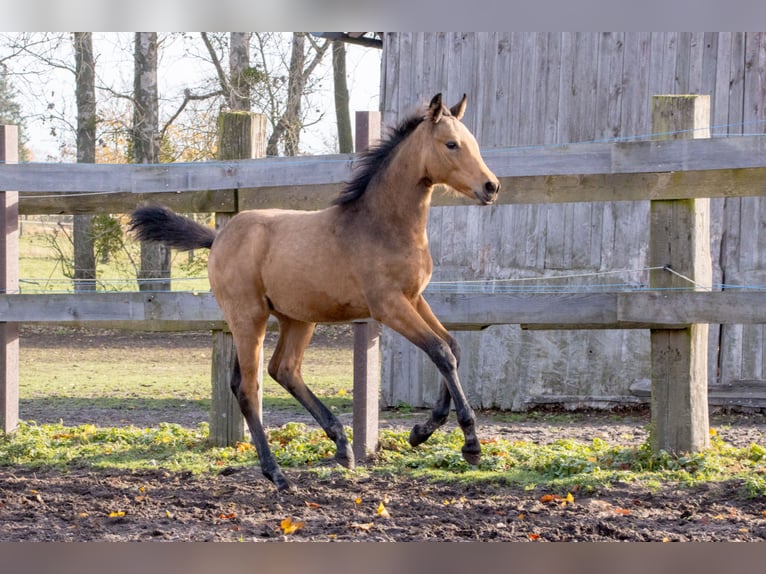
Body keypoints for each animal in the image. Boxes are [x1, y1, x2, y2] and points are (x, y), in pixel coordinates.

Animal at [129, 93, 500, 491]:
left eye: (472, 142)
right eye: (451, 144)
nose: (491, 187)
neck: (382, 225)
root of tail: (218, 237)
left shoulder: (415, 298)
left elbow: (453, 347)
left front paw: (421, 431)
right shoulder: (388, 306)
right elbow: (440, 351)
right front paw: (470, 443)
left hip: (296, 318)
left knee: (284, 370)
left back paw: (341, 445)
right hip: (248, 318)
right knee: (249, 388)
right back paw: (277, 473)